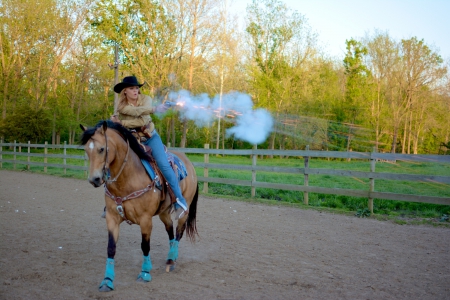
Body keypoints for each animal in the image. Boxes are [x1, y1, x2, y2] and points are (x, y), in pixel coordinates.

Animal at [79, 119, 199, 290]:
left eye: (101, 149)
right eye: (86, 151)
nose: (94, 179)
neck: (128, 178)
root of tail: (188, 162)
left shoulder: (145, 220)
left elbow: (145, 246)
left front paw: (145, 273)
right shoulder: (112, 218)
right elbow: (111, 248)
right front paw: (107, 280)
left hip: (185, 209)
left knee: (179, 232)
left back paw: (171, 260)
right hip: (163, 212)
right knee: (170, 230)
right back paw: (170, 257)